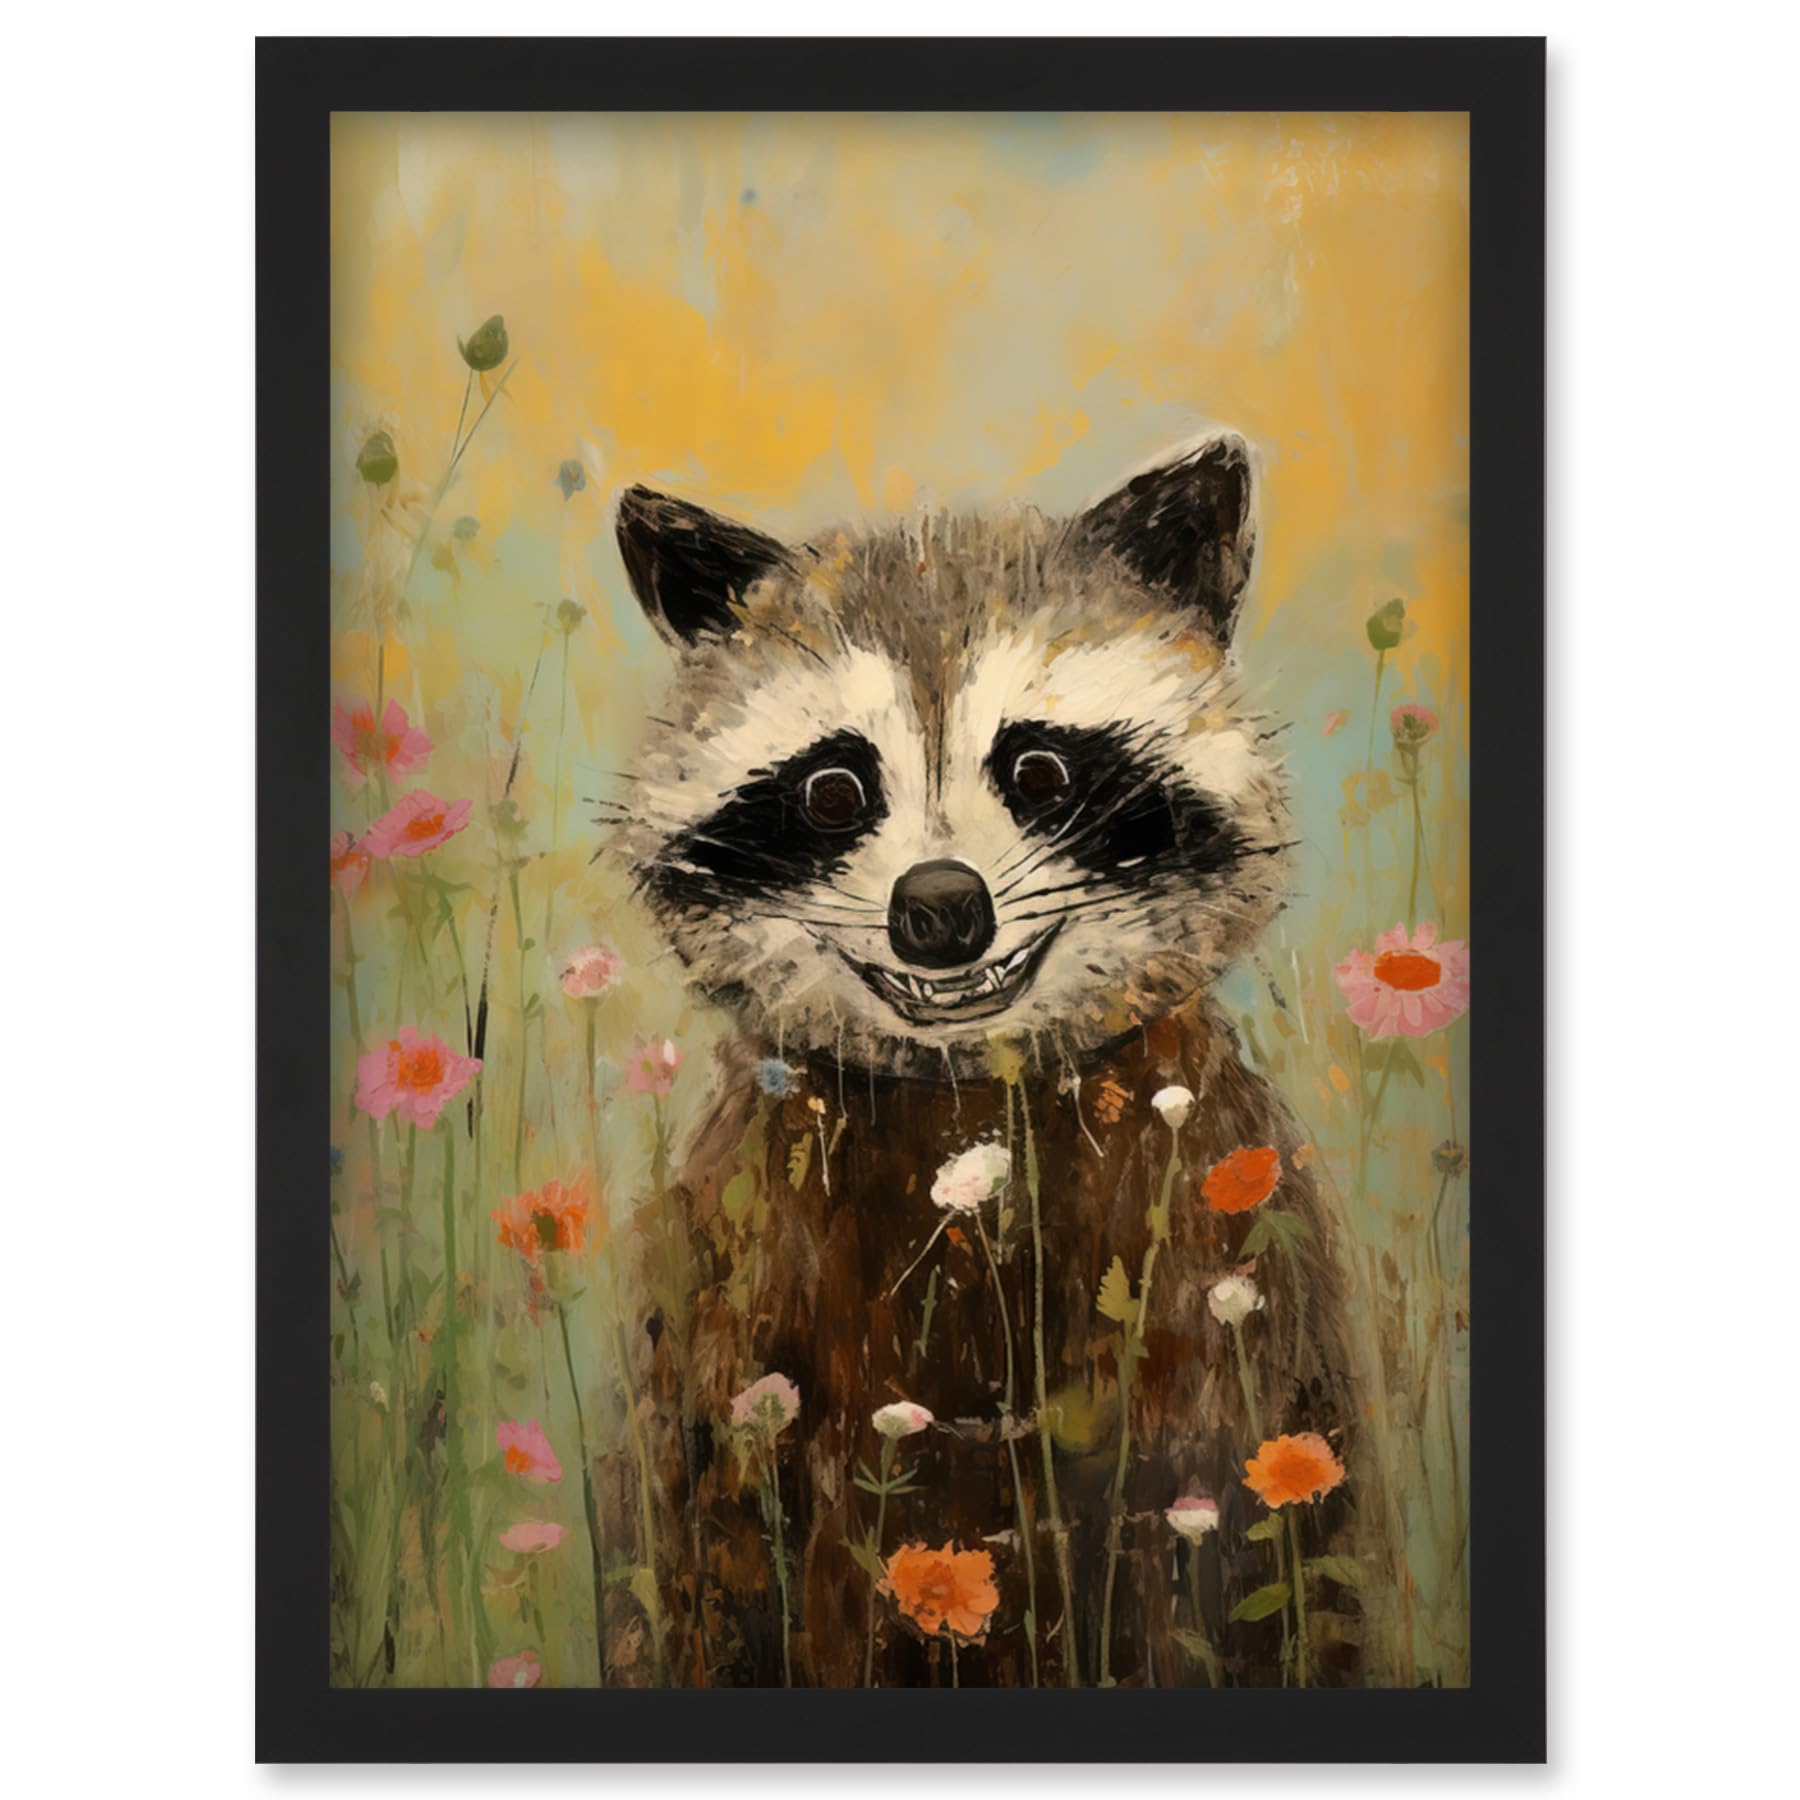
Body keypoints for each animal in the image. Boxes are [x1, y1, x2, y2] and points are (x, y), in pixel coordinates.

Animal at [606, 435, 1354, 1689]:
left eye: (1042, 771)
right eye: (832, 789)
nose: (941, 910)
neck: (965, 1098)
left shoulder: (1224, 1272)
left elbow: (1220, 1549)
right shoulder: (728, 1301)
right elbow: (714, 1558)